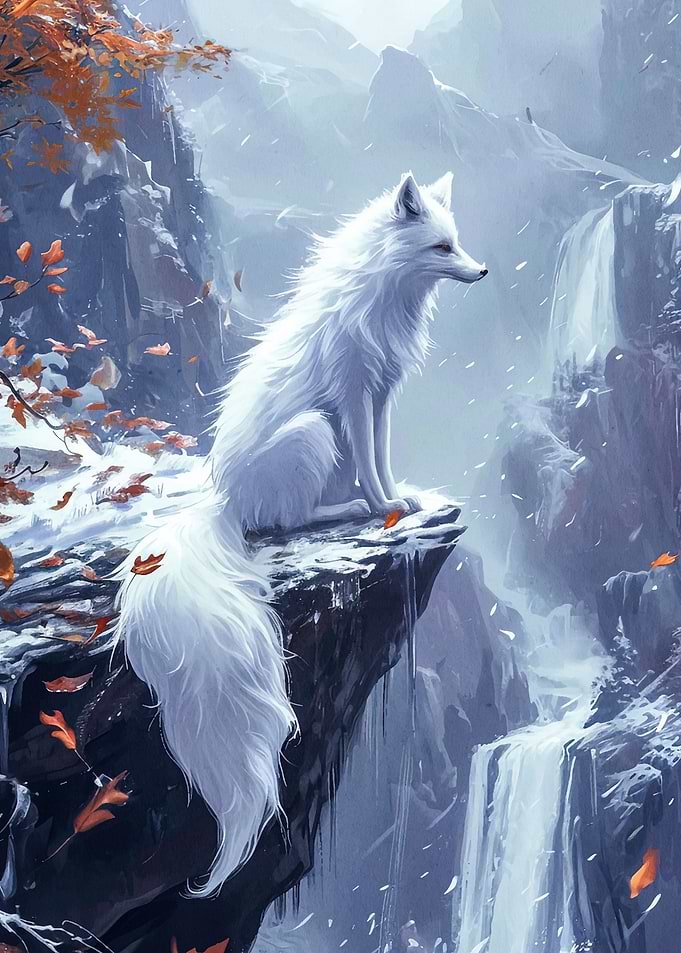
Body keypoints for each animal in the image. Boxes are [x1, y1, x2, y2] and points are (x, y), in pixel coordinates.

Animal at [115, 172, 486, 897]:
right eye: (441, 246)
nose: (481, 271)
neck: (382, 299)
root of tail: (223, 500)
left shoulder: (382, 397)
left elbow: (383, 456)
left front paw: (401, 497)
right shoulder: (352, 395)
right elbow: (371, 466)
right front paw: (384, 507)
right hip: (314, 433)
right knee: (283, 521)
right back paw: (338, 512)